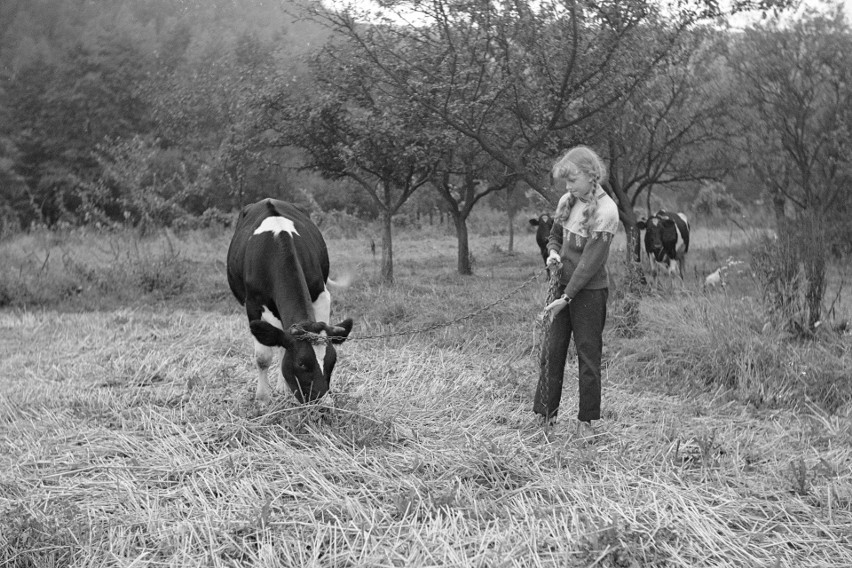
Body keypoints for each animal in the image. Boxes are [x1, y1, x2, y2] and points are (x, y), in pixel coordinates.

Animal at [226, 200, 352, 404]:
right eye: (302, 363)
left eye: (332, 361)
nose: (324, 403)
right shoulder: (253, 305)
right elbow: (263, 357)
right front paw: (262, 398)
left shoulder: (321, 296)